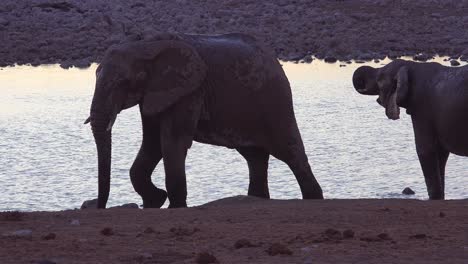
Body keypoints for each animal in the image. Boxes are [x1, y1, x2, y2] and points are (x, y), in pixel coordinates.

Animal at [86, 32, 324, 208]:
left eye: (122, 83)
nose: (97, 205)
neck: (145, 45)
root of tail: (273, 59)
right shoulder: (155, 93)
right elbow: (152, 143)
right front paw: (155, 200)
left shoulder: (190, 90)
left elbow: (172, 141)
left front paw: (174, 206)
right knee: (255, 157)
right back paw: (257, 199)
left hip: (275, 101)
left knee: (290, 152)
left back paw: (314, 199)